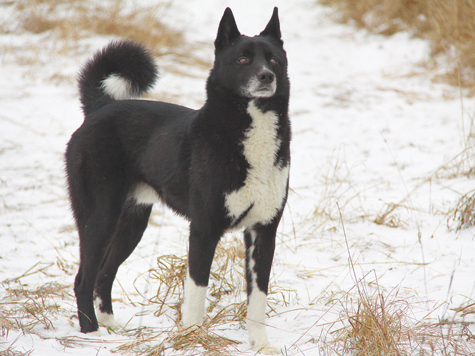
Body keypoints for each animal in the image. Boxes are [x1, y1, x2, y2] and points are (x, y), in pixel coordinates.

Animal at [66, 6, 290, 354]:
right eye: (243, 59)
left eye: (274, 59)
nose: (267, 76)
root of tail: (100, 107)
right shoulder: (203, 230)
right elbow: (197, 292)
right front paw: (193, 339)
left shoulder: (263, 232)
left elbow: (258, 299)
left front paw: (261, 345)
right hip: (98, 218)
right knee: (83, 280)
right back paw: (91, 335)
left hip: (131, 224)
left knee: (104, 274)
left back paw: (112, 327)